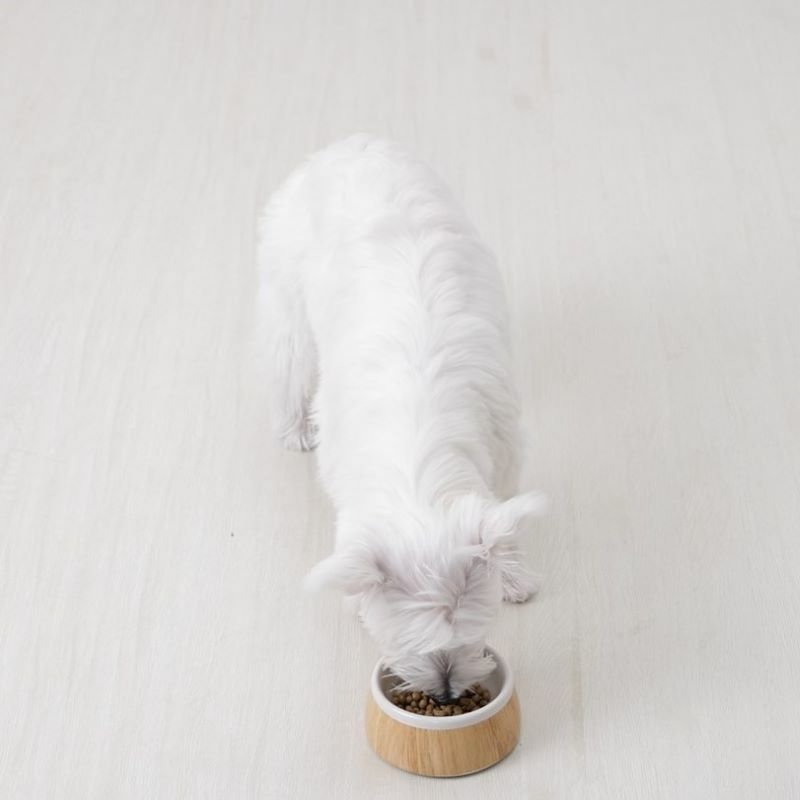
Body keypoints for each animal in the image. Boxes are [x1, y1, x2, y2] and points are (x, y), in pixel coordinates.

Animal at [259, 134, 545, 701]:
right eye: (409, 640)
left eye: (474, 632)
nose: (447, 694)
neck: (419, 465)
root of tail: (350, 145)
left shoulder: (504, 448)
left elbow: (504, 520)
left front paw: (512, 575)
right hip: (288, 300)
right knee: (287, 360)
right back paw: (293, 427)